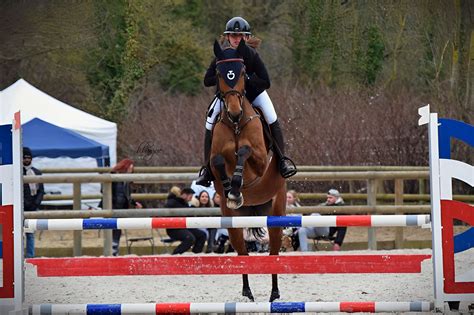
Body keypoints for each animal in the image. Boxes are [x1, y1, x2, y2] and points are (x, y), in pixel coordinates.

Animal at [208, 40, 286, 304]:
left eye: (242, 73)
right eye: (219, 73)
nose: (233, 112)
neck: (235, 125)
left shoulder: (260, 161)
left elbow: (244, 151)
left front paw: (235, 186)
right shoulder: (214, 158)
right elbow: (218, 161)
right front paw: (231, 190)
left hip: (276, 213)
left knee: (273, 253)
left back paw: (274, 294)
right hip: (233, 224)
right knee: (243, 253)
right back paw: (247, 292)